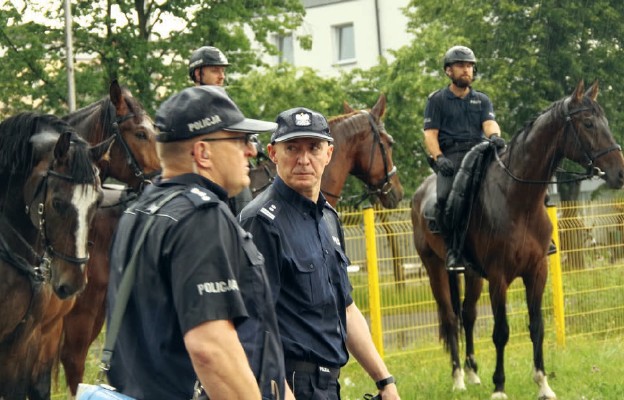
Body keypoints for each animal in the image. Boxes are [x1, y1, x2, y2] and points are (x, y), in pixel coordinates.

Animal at [410, 79, 624, 398]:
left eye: (605, 122)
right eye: (588, 123)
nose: (619, 173)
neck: (517, 199)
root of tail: (420, 193)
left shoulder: (537, 271)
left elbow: (537, 326)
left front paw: (543, 383)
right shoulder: (499, 277)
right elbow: (501, 332)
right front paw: (499, 387)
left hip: (472, 274)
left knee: (467, 314)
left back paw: (472, 373)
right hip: (434, 267)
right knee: (449, 318)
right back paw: (458, 378)